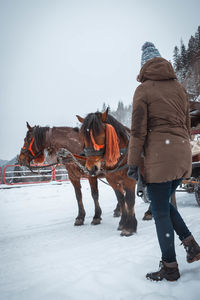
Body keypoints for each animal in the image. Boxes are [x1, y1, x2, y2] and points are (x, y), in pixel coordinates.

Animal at [76, 108, 138, 237]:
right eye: (83, 137)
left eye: (101, 135)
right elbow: (121, 199)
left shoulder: (129, 179)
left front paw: (130, 226)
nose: (91, 168)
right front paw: (123, 222)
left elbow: (130, 200)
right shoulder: (113, 181)